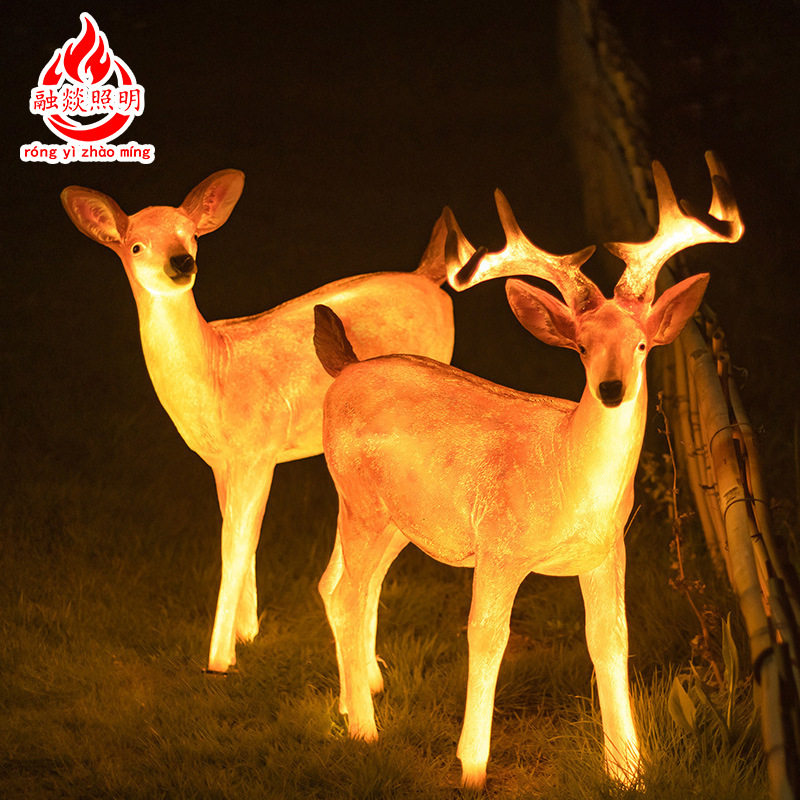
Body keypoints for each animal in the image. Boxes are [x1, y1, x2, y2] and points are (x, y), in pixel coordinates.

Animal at [60, 170, 455, 674]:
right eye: (136, 246)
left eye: (191, 235)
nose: (181, 262)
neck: (216, 373)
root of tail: (429, 277)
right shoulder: (221, 461)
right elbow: (238, 536)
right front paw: (246, 634)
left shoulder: (259, 449)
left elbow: (235, 543)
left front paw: (218, 659)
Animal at [312, 152, 743, 788]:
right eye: (582, 347)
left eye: (642, 344)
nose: (611, 389)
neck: (566, 477)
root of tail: (345, 368)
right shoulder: (499, 545)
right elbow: (487, 637)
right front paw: (471, 766)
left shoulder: (608, 550)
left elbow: (611, 640)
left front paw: (627, 768)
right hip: (359, 500)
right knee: (347, 593)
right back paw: (366, 731)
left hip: (397, 520)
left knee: (345, 586)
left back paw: (355, 697)